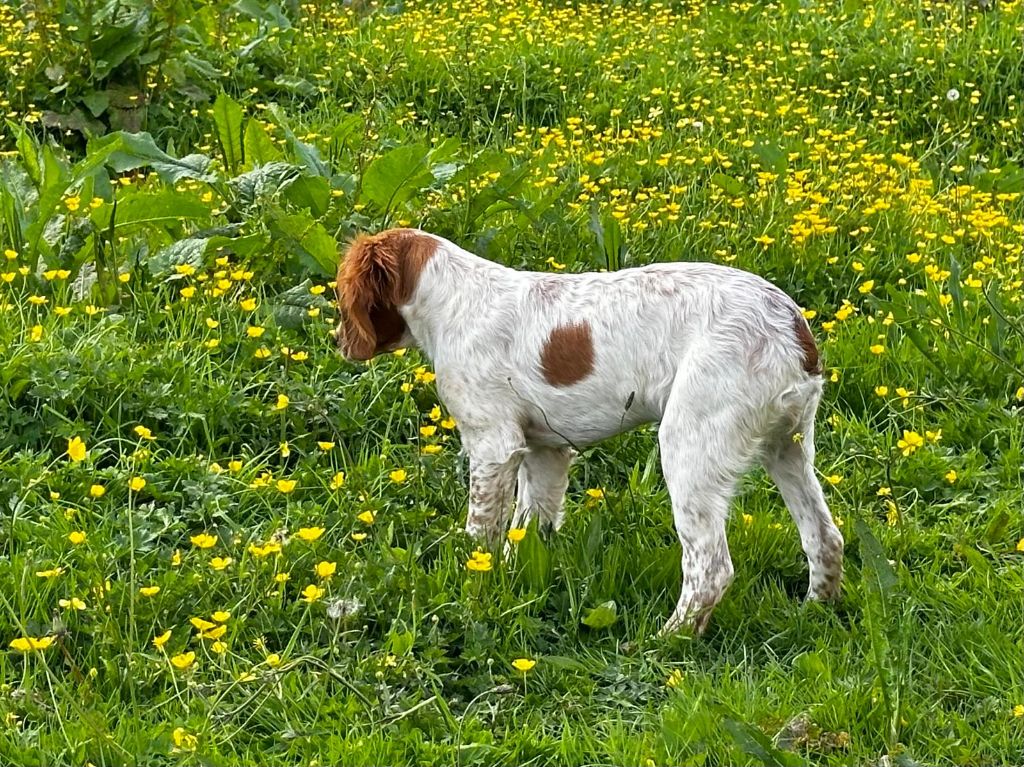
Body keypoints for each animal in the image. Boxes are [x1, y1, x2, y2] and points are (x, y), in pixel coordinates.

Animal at [331, 227, 843, 634]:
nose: (338, 342)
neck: (454, 298)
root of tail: (790, 324)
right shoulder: (545, 451)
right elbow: (529, 528)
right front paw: (517, 582)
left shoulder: (493, 444)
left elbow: (481, 531)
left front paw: (472, 584)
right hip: (787, 447)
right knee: (825, 536)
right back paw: (815, 611)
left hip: (690, 445)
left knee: (710, 568)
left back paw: (665, 641)